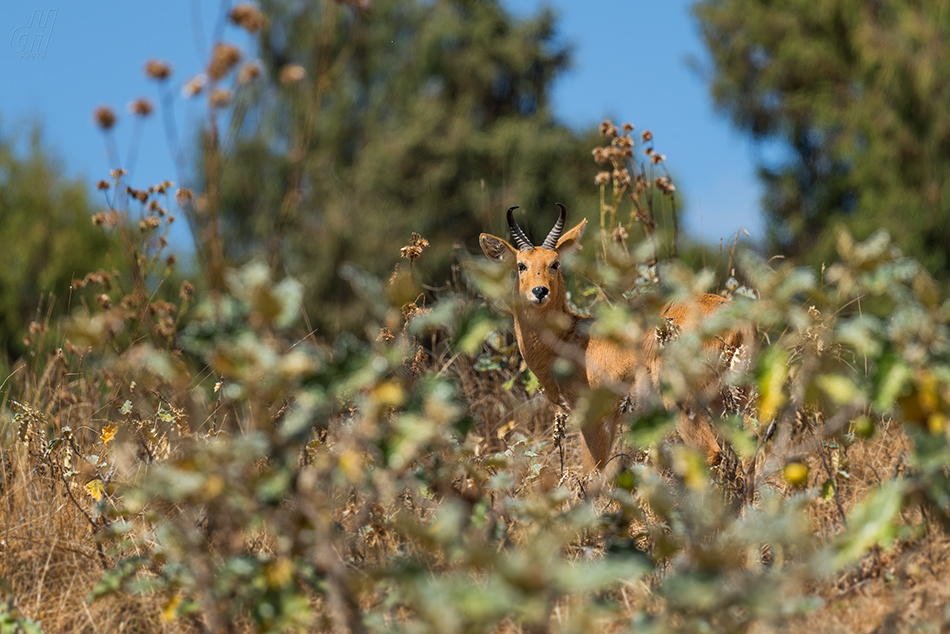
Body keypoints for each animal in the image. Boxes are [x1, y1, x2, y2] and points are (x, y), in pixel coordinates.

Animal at [480, 205, 748, 472]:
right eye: (521, 265)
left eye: (555, 263)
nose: (539, 291)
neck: (569, 339)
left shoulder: (594, 420)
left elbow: (591, 475)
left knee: (712, 452)